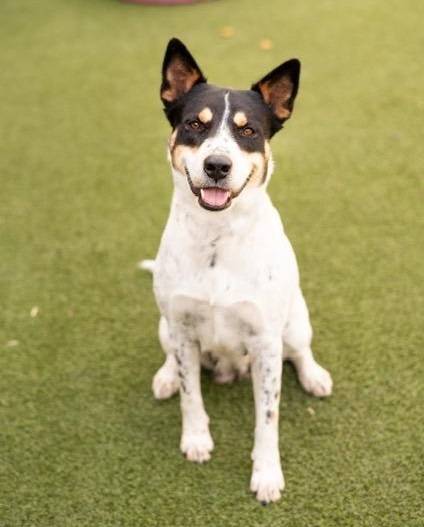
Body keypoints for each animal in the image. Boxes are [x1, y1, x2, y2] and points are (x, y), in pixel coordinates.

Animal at [143, 39, 334, 506]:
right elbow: (191, 395)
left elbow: (268, 418)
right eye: (194, 124)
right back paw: (165, 377)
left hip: (295, 322)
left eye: (248, 132)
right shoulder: (182, 329)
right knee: (172, 360)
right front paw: (196, 439)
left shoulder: (265, 343)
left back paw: (315, 376)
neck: (217, 238)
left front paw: (266, 474)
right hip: (165, 325)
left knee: (300, 351)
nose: (217, 165)